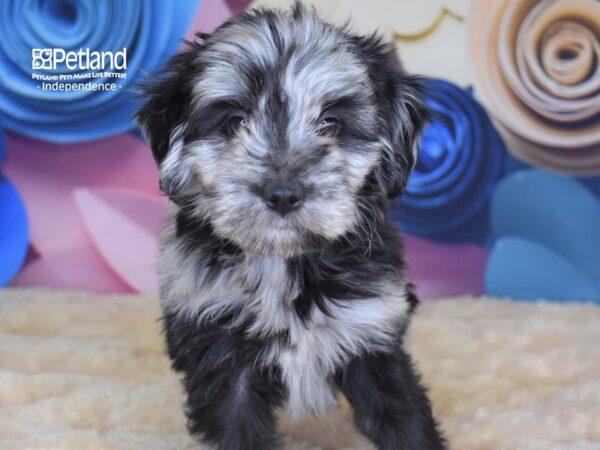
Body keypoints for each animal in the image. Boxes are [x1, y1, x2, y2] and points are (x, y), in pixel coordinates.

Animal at [136, 3, 446, 450]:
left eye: (331, 124)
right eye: (235, 122)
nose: (283, 193)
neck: (282, 265)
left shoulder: (372, 336)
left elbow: (404, 417)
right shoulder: (221, 356)